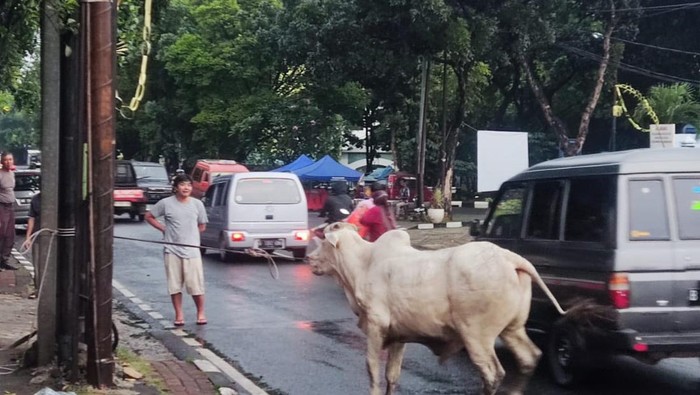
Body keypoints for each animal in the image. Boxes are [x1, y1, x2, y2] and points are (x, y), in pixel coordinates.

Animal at [308, 224, 568, 394]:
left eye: (324, 242)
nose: (310, 258)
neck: (362, 265)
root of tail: (511, 259)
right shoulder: (398, 335)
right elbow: (392, 375)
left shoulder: (375, 325)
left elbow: (373, 372)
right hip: (512, 329)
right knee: (529, 358)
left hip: (477, 335)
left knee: (493, 373)